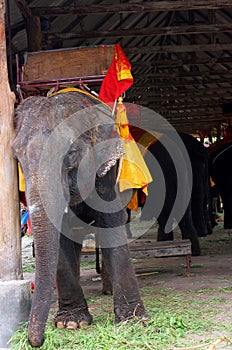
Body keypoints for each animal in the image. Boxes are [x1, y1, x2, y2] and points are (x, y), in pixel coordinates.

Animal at [12, 91, 149, 348]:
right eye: (17, 156)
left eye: (71, 153)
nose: (37, 341)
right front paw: (71, 323)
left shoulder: (106, 171)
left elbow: (111, 225)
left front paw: (134, 321)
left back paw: (108, 290)